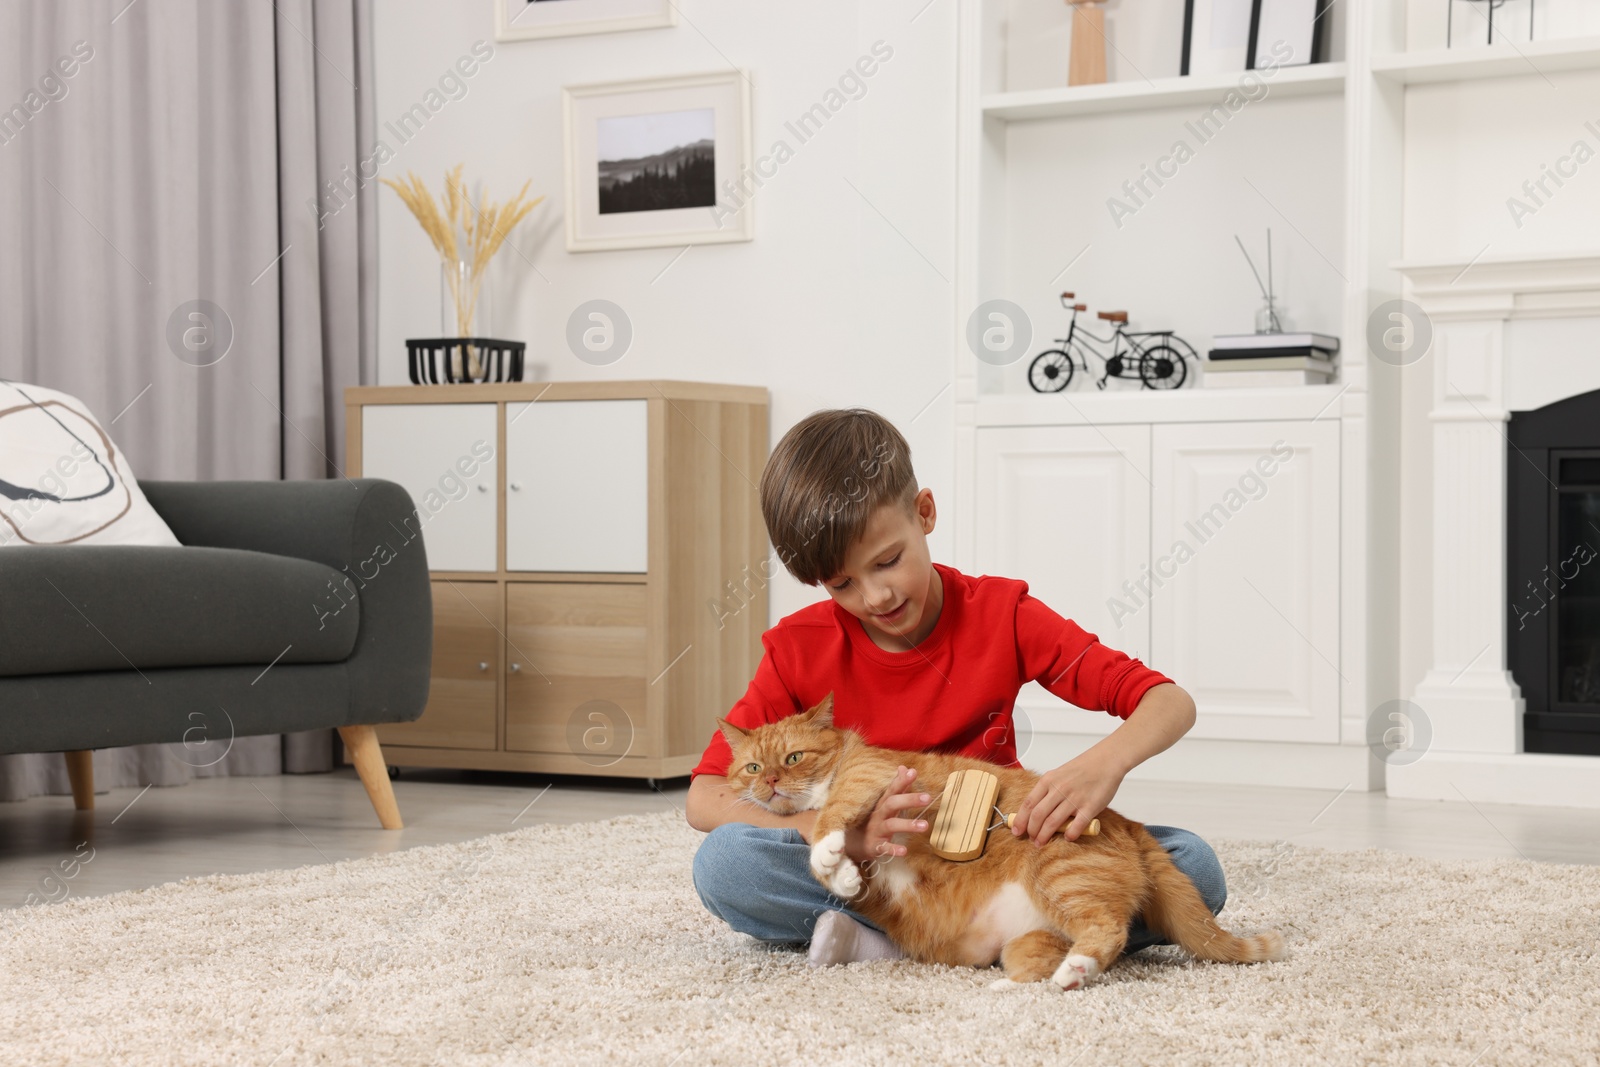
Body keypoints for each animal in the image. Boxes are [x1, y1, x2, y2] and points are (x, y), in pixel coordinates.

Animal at [723, 697, 1286, 991]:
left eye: (793, 759)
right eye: (752, 767)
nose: (769, 782)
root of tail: (1124, 820)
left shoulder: (872, 773)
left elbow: (834, 810)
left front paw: (826, 850)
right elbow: (852, 873)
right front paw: (841, 872)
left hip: (1061, 877)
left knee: (1109, 931)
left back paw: (1073, 972)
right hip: (1028, 938)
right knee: (1037, 963)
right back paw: (1018, 983)